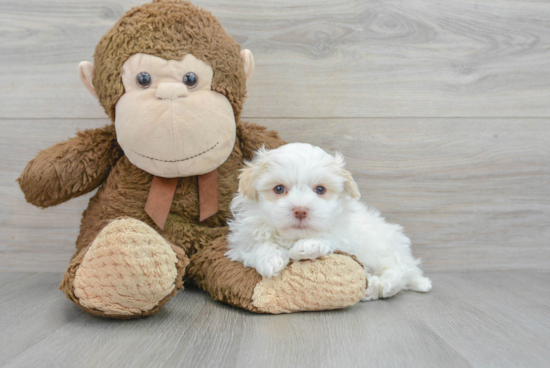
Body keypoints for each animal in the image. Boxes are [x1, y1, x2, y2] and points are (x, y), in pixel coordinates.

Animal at [226, 142, 434, 300]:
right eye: (278, 189)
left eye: (320, 190)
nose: (300, 210)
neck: (292, 237)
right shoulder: (242, 242)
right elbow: (258, 245)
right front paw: (270, 259)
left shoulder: (346, 239)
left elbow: (329, 239)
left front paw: (308, 246)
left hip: (383, 246)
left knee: (399, 271)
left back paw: (383, 284)